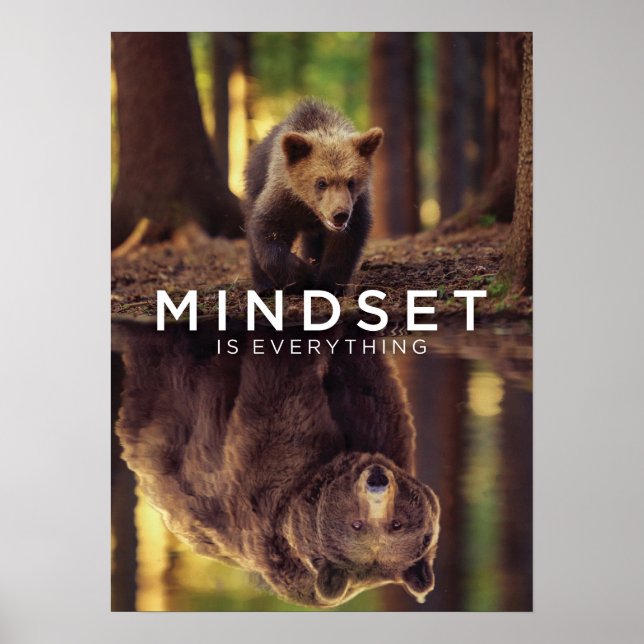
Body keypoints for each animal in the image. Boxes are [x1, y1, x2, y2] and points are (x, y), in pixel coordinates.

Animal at [243, 98, 383, 295]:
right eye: (321, 182)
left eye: (351, 181)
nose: (340, 214)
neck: (309, 209)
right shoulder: (284, 198)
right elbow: (269, 230)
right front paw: (304, 276)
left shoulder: (357, 206)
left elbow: (344, 245)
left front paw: (329, 283)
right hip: (255, 179)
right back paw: (264, 285)